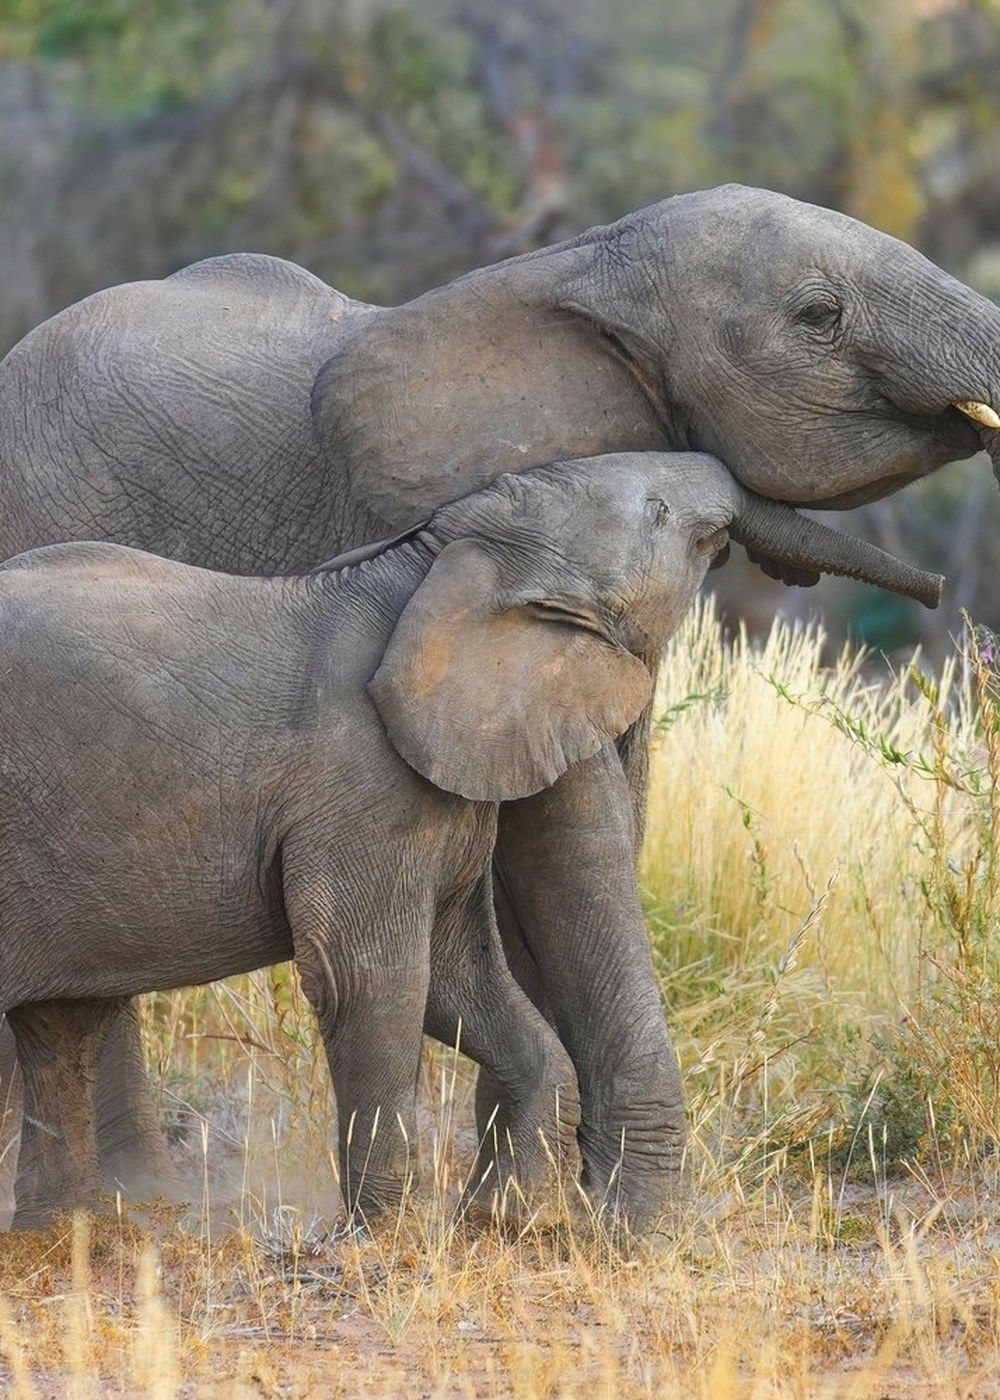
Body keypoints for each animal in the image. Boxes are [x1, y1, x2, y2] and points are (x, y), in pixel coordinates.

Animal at [0, 182, 993, 1231]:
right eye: (817, 316)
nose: (936, 593)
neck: (583, 267)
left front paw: (528, 1212)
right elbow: (566, 841)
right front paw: (617, 1223)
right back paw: (138, 1208)